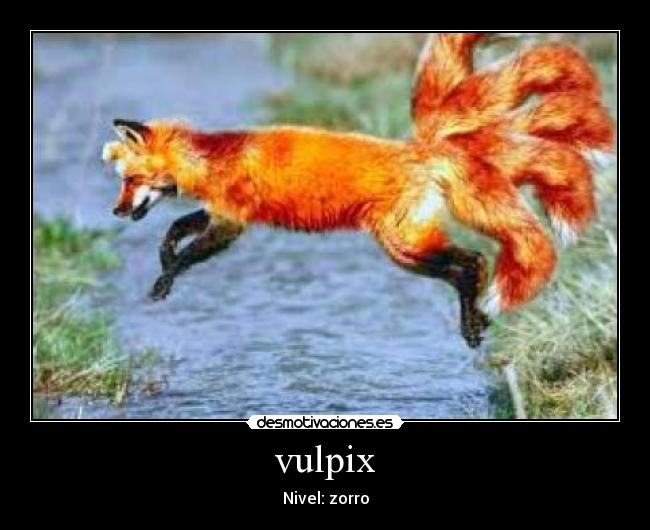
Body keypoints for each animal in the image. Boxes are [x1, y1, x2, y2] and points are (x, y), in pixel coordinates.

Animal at [102, 33, 614, 348]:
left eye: (129, 180)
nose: (115, 211)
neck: (211, 160)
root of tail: (421, 150)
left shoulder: (231, 222)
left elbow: (187, 252)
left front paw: (165, 279)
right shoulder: (219, 214)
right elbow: (173, 231)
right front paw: (164, 262)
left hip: (402, 246)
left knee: (473, 262)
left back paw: (472, 321)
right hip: (406, 249)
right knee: (468, 268)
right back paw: (477, 320)